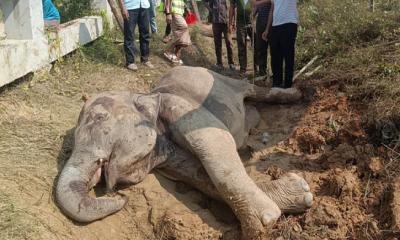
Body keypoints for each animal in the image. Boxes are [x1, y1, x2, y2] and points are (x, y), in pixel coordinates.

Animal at [56, 65, 312, 238]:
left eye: (100, 117)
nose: (121, 197)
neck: (144, 94)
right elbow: (196, 174)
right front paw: (300, 192)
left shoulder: (178, 106)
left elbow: (216, 141)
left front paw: (260, 226)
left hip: (224, 80)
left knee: (252, 89)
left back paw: (295, 94)